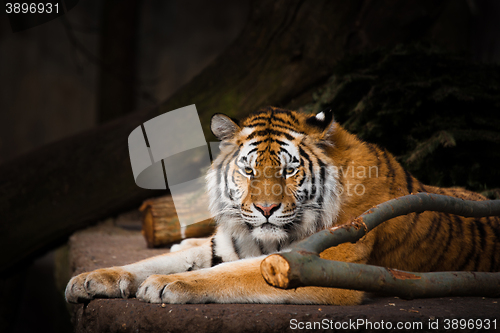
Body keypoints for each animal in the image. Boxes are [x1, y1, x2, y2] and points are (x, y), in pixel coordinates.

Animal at [66, 107, 500, 304]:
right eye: (248, 170)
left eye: (290, 171)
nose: (266, 209)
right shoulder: (225, 244)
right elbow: (152, 261)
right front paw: (90, 279)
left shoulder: (323, 264)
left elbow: (231, 274)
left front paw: (168, 284)